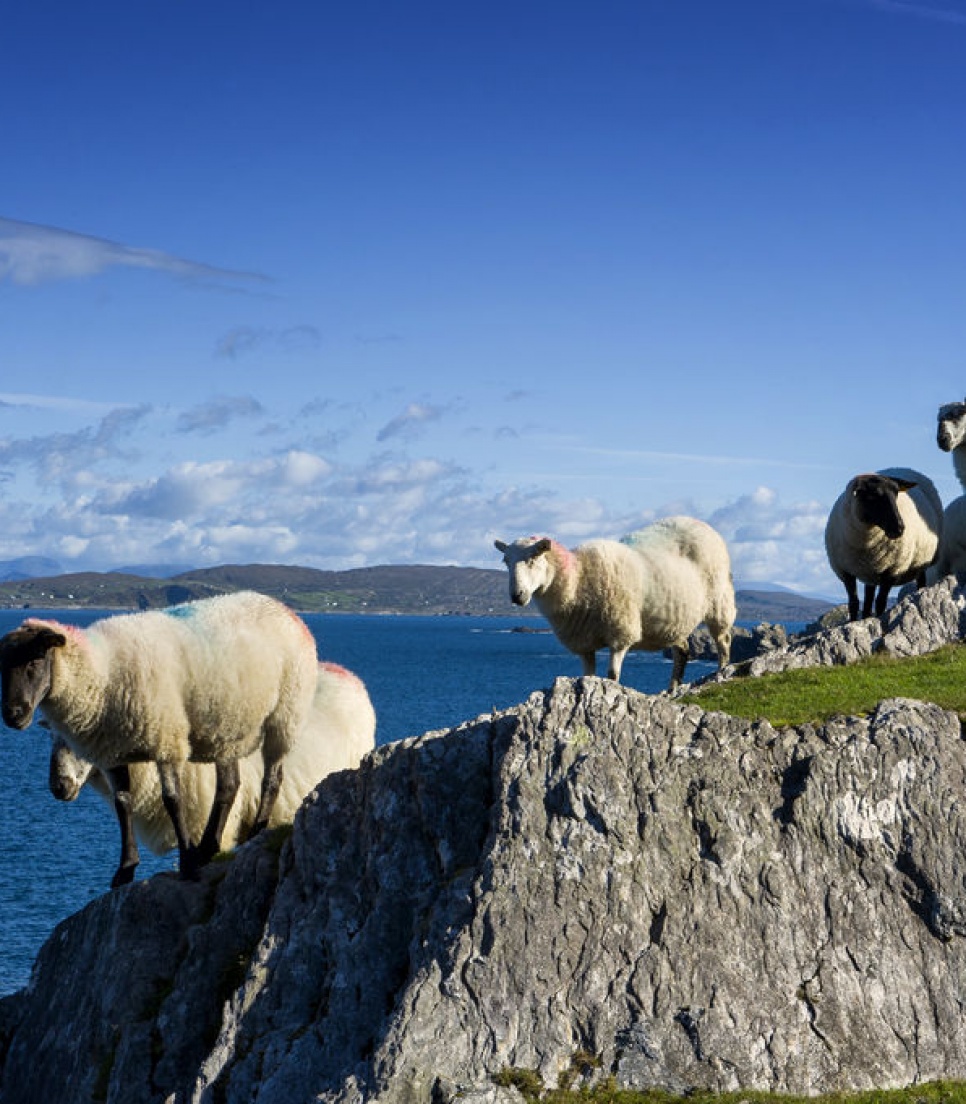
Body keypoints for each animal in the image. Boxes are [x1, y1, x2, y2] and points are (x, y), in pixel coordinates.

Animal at [0, 591, 317, 883]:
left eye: (35, 662)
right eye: (3, 667)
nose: (13, 715)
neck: (103, 672)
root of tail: (285, 609)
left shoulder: (167, 739)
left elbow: (173, 800)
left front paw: (187, 863)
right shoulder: (111, 751)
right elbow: (123, 804)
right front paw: (125, 870)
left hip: (284, 716)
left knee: (272, 779)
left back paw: (254, 834)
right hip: (226, 728)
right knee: (229, 786)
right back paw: (208, 848)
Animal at [494, 516, 737, 688]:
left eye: (533, 558)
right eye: (506, 561)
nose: (516, 595)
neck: (578, 578)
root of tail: (699, 523)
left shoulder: (621, 633)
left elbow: (612, 675)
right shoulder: (584, 642)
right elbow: (588, 675)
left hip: (719, 602)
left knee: (723, 641)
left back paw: (721, 674)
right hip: (676, 620)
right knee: (682, 652)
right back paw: (672, 690)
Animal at [821, 465, 945, 622]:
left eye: (896, 494)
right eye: (873, 496)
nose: (899, 528)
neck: (866, 543)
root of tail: (905, 467)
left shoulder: (893, 570)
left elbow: (881, 602)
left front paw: (879, 620)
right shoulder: (844, 571)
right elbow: (854, 603)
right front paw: (854, 621)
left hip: (922, 561)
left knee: (920, 582)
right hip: (870, 573)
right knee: (868, 599)